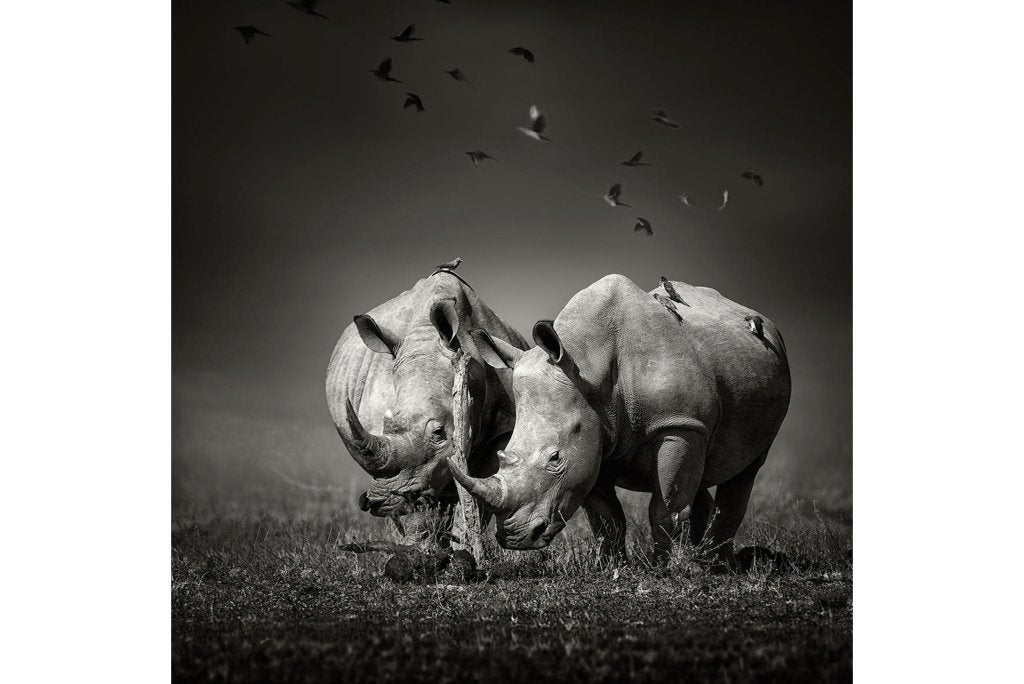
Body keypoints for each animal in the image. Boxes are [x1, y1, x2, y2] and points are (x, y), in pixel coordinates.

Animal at [447, 274, 791, 565]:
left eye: (555, 458)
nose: (514, 538)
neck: (587, 365)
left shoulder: (679, 424)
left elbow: (666, 505)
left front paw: (667, 569)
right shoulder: (594, 435)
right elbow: (607, 516)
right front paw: (611, 566)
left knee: (745, 471)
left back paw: (717, 564)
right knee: (700, 474)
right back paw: (702, 556)